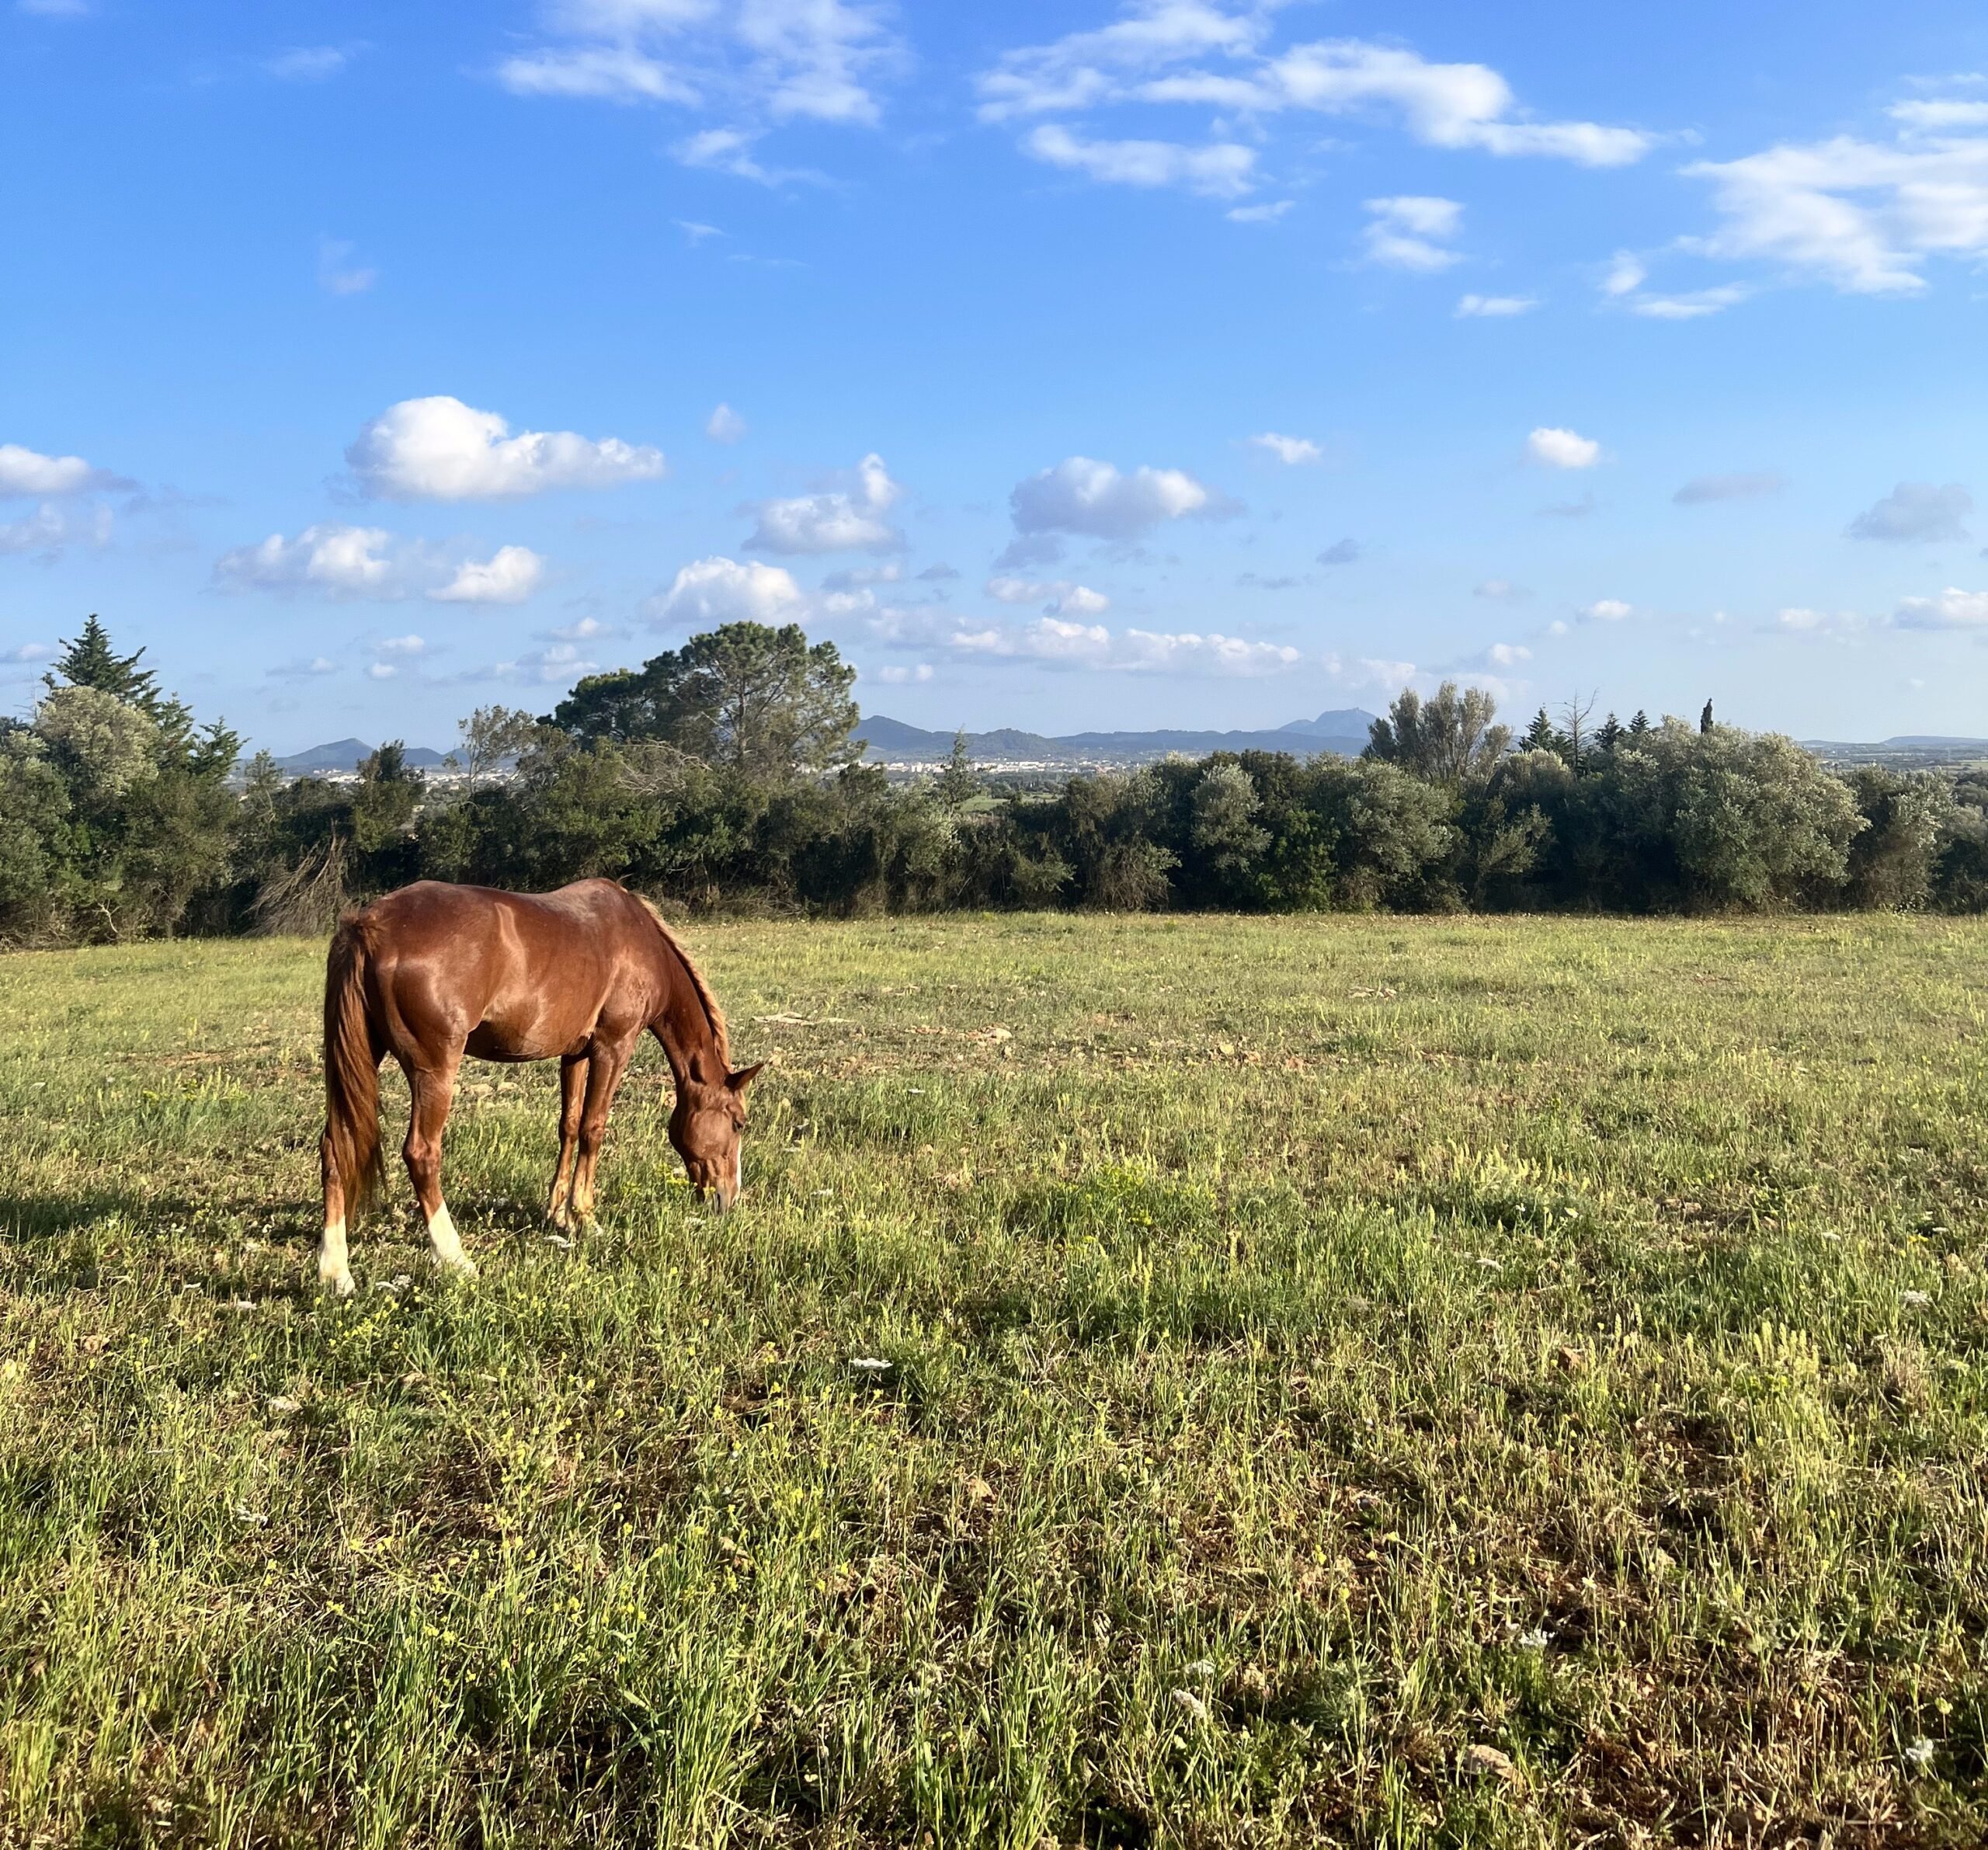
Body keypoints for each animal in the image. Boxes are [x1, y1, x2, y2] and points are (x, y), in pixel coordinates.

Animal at [317, 877, 762, 1296]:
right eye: (739, 1122)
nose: (729, 1198)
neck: (639, 942)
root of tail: (371, 925)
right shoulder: (613, 1047)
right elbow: (593, 1129)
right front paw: (585, 1218)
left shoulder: (575, 1054)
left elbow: (569, 1126)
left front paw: (558, 1213)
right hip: (435, 1070)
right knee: (422, 1154)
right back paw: (454, 1256)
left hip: (362, 1058)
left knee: (336, 1146)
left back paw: (335, 1272)